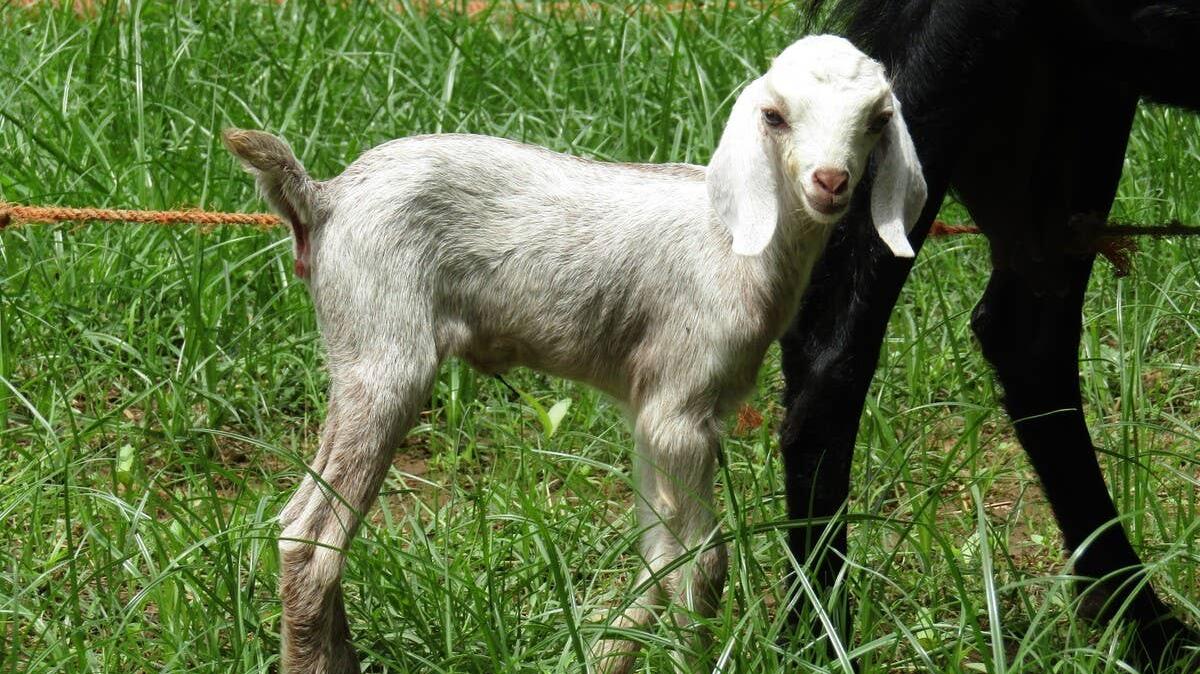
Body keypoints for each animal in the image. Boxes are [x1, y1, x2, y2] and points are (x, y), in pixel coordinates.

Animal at [223, 34, 924, 674]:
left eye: (877, 119)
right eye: (774, 115)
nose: (830, 182)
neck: (734, 247)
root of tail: (324, 198)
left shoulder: (651, 411)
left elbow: (660, 557)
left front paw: (607, 656)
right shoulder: (682, 411)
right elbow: (703, 567)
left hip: (360, 353)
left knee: (305, 526)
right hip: (385, 353)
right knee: (310, 539)